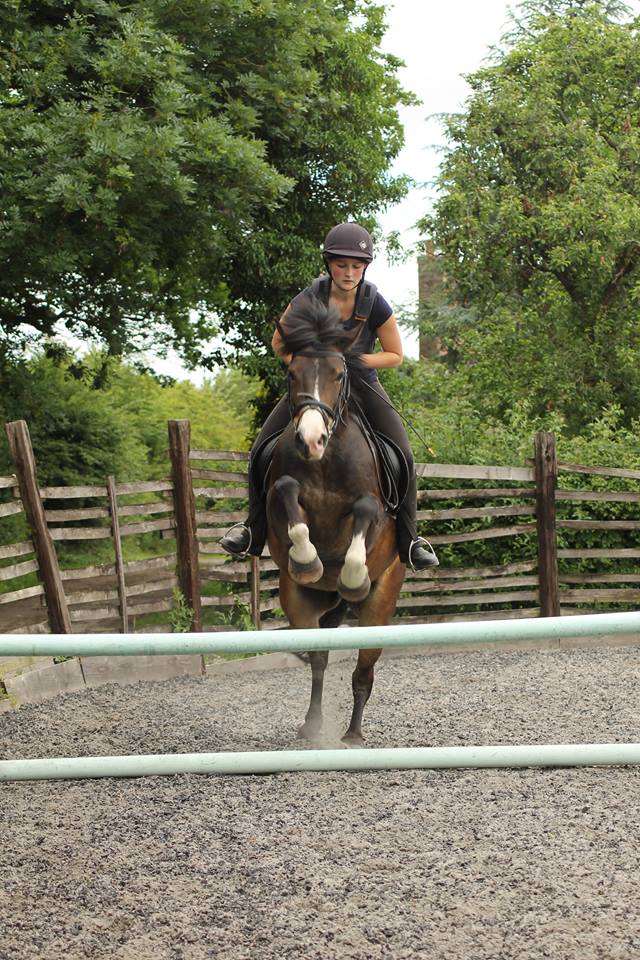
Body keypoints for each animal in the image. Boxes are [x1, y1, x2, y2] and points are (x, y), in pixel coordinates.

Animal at [265, 294, 406, 744]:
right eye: (292, 373)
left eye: (340, 373)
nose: (311, 440)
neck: (325, 459)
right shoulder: (278, 500)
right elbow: (286, 492)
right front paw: (308, 559)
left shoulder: (375, 512)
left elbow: (365, 510)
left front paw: (352, 573)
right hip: (300, 603)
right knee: (318, 659)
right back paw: (312, 726)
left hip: (380, 605)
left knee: (364, 671)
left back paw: (353, 735)